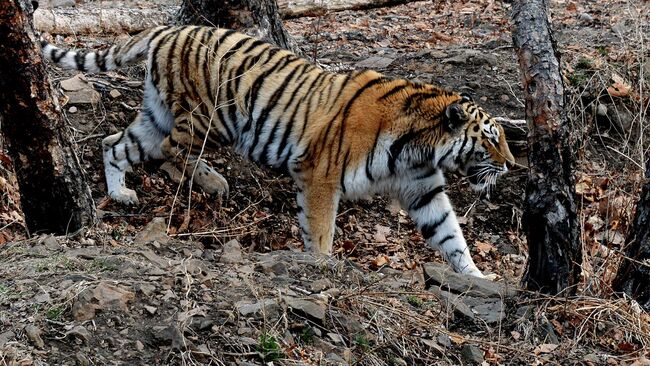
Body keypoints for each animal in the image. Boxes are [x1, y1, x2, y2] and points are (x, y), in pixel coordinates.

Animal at [43, 25, 512, 278]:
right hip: (207, 118)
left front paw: (478, 276)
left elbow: (451, 235)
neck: (421, 148)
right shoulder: (320, 173)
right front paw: (322, 266)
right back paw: (211, 181)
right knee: (169, 152)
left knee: (114, 144)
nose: (509, 165)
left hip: (158, 114)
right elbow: (320, 230)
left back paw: (121, 193)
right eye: (490, 138)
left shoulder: (422, 188)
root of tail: (167, 30)